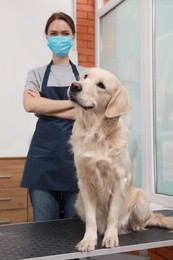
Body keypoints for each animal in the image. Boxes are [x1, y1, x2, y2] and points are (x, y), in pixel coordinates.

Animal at [67, 67, 173, 252]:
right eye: (85, 76)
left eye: (101, 85)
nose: (75, 85)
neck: (97, 133)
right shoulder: (85, 182)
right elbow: (91, 219)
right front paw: (88, 240)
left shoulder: (119, 180)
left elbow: (113, 215)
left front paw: (110, 237)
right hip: (78, 201)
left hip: (141, 197)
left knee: (144, 220)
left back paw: (135, 225)